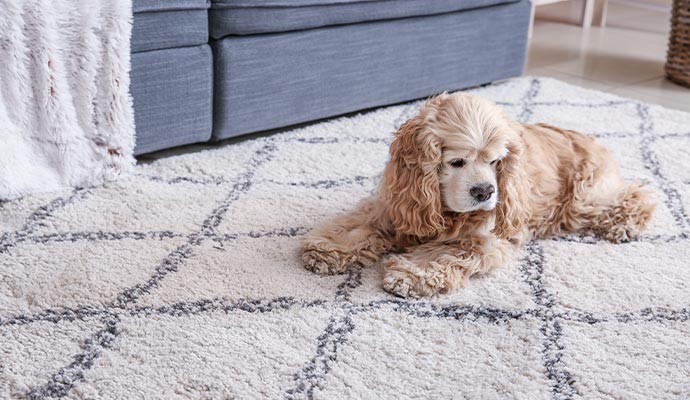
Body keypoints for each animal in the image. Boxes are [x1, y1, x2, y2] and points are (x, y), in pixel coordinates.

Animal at [300, 93, 652, 296]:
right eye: (457, 162)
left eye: (496, 162)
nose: (484, 191)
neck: (445, 209)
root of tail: (596, 141)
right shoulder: (397, 206)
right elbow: (360, 225)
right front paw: (328, 249)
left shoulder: (484, 239)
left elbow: (446, 253)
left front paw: (411, 274)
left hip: (585, 198)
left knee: (638, 193)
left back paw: (624, 225)